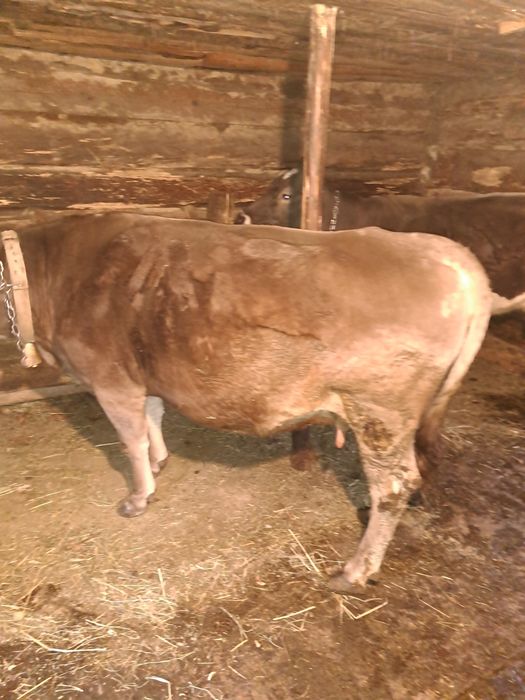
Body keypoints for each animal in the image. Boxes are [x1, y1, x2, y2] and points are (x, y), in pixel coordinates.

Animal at [1, 212, 493, 590]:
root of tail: (444, 251)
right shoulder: (144, 374)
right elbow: (153, 415)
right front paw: (160, 461)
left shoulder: (110, 379)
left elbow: (131, 440)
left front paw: (139, 497)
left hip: (380, 410)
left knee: (393, 484)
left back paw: (354, 571)